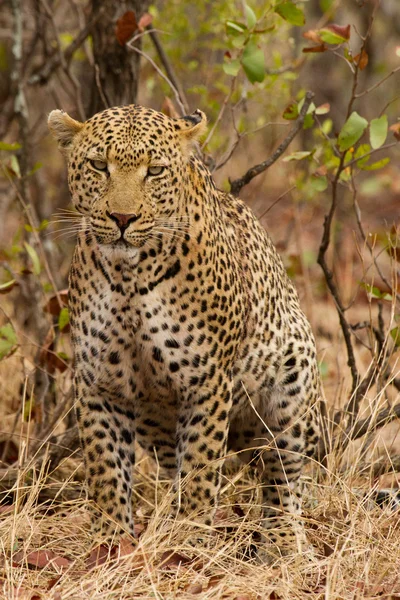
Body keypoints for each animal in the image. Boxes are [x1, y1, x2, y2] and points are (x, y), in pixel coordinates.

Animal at [47, 103, 322, 556]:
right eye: (99, 166)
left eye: (155, 171)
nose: (123, 218)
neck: (130, 276)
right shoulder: (100, 383)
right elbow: (106, 468)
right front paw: (109, 542)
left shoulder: (206, 381)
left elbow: (201, 466)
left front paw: (191, 539)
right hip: (154, 425)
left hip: (293, 387)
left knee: (283, 480)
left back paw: (284, 541)